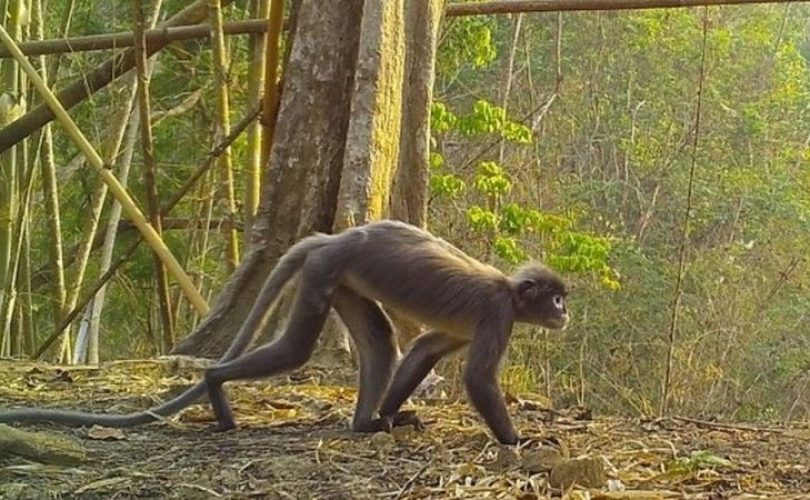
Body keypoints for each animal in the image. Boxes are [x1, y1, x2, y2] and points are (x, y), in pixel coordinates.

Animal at [0, 221, 568, 444]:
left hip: (338, 277)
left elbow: (426, 347)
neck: (510, 292)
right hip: (325, 271)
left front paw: (390, 416)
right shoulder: (497, 313)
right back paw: (214, 384)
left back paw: (366, 423)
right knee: (296, 349)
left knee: (379, 339)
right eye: (556, 297)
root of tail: (336, 236)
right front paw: (520, 440)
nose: (565, 313)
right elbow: (476, 379)